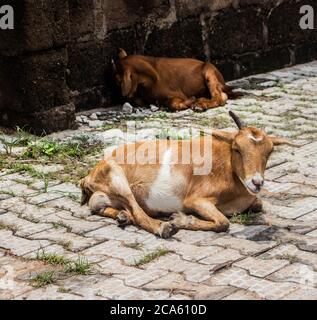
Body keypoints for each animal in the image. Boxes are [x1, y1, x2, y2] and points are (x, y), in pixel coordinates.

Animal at [80, 111, 298, 239]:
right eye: (237, 148)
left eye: (269, 152)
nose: (257, 182)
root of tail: (88, 177)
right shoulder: (195, 199)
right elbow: (223, 223)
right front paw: (180, 219)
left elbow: (258, 204)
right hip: (117, 176)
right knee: (137, 211)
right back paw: (163, 227)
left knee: (103, 207)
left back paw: (123, 217)